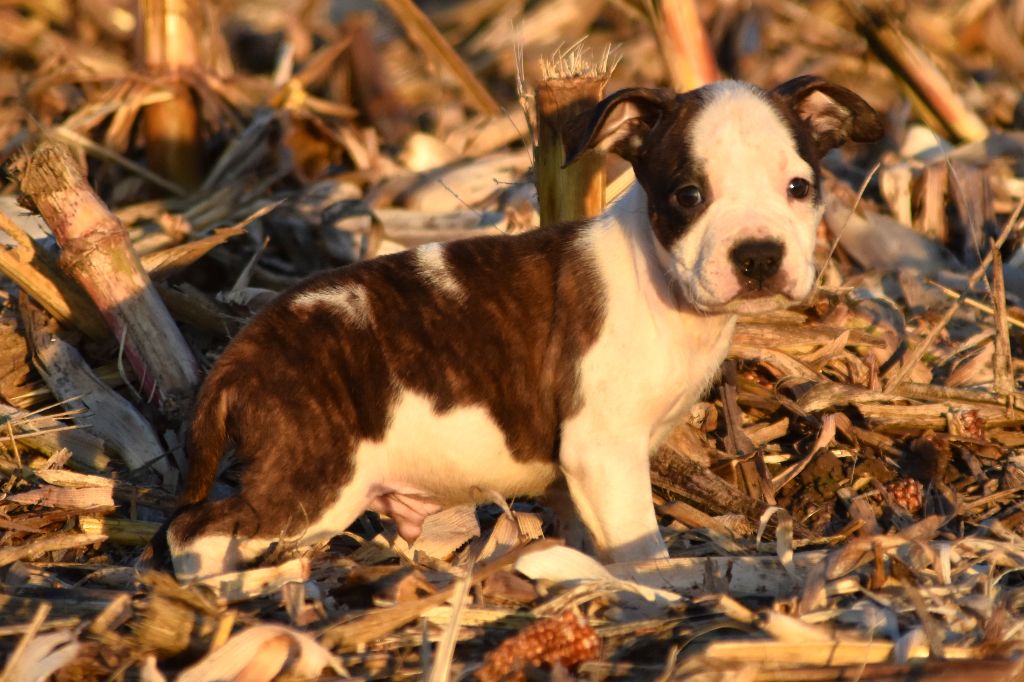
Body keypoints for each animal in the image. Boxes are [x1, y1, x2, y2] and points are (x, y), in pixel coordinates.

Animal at [165, 75, 880, 577]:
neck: (660, 282)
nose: (757, 255)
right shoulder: (603, 450)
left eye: (799, 187)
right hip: (315, 481)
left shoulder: (582, 477)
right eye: (688, 196)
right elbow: (642, 547)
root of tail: (240, 354)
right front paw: (660, 589)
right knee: (195, 529)